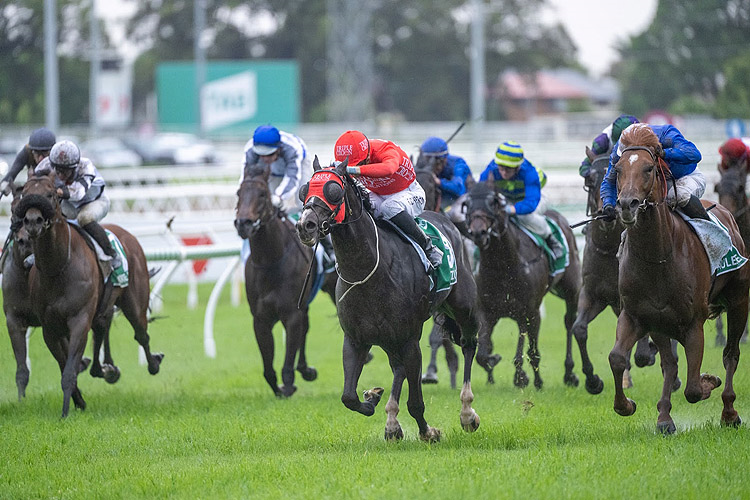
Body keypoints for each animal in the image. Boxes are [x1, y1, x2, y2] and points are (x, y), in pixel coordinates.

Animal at [15, 174, 164, 416]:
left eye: (50, 194)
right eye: (24, 194)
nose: (33, 221)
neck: (58, 267)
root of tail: (129, 236)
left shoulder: (79, 320)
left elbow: (69, 371)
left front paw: (66, 412)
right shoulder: (50, 328)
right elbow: (65, 366)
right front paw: (78, 401)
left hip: (134, 302)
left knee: (141, 335)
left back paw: (153, 363)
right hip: (102, 308)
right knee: (102, 330)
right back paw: (107, 369)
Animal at [235, 166, 338, 396]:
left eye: (262, 194)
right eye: (238, 193)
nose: (243, 223)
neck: (271, 261)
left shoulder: (291, 314)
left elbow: (287, 362)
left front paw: (289, 385)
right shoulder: (260, 319)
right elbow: (268, 369)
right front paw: (280, 389)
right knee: (306, 327)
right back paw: (306, 369)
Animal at [296, 157, 482, 442]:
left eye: (333, 190)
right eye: (304, 190)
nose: (306, 225)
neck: (367, 270)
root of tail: (445, 219)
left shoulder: (410, 340)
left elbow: (415, 402)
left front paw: (429, 432)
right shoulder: (356, 339)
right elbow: (348, 397)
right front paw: (372, 398)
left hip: (463, 308)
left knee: (469, 344)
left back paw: (467, 412)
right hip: (389, 338)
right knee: (398, 368)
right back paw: (392, 422)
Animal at [468, 182, 584, 388]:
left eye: (493, 203)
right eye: (468, 202)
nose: (478, 233)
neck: (503, 266)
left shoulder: (530, 311)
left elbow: (531, 351)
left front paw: (529, 379)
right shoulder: (487, 312)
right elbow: (482, 353)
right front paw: (494, 361)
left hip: (571, 290)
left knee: (569, 322)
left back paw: (569, 373)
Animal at [612, 125, 750, 434]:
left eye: (649, 168)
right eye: (617, 169)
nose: (627, 205)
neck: (657, 256)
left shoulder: (693, 323)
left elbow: (694, 389)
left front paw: (709, 382)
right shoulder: (637, 316)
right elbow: (617, 358)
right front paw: (627, 406)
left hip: (739, 301)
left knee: (731, 353)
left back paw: (730, 413)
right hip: (662, 323)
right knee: (670, 364)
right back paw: (664, 418)